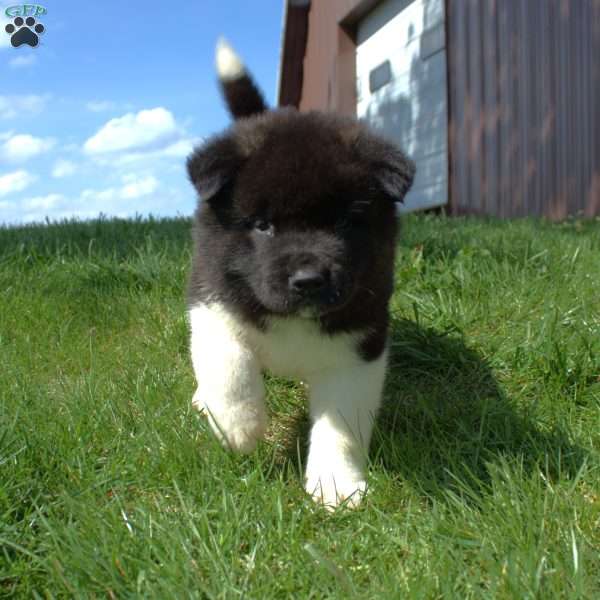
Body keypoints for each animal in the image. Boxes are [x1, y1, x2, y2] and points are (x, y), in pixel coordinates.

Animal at [185, 38, 414, 506]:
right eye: (262, 225)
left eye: (344, 222)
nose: (309, 281)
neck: (293, 322)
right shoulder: (212, 299)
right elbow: (229, 363)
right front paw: (240, 428)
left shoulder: (357, 344)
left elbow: (341, 424)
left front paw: (336, 487)